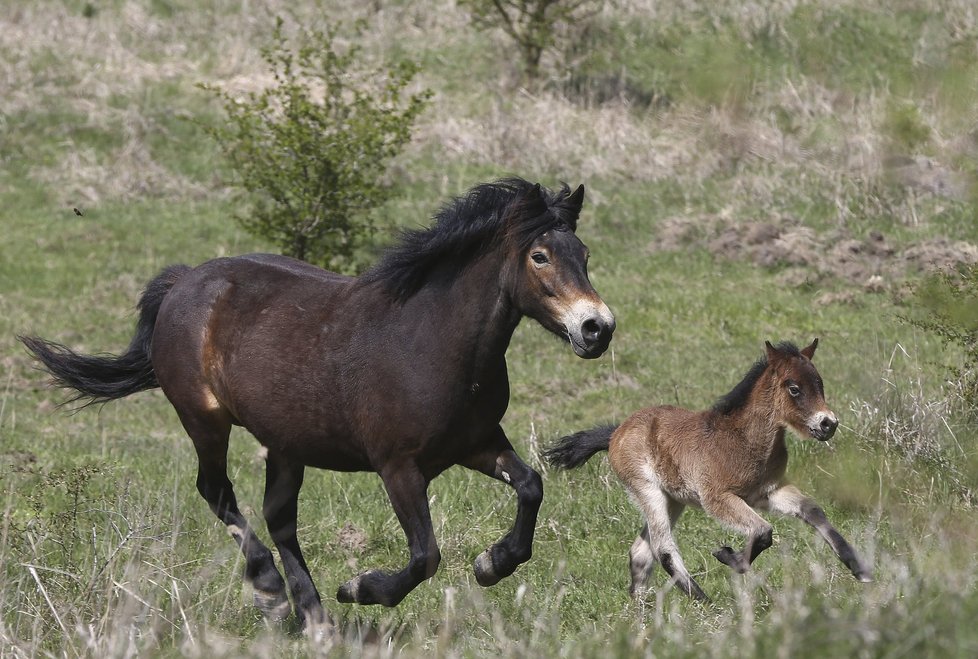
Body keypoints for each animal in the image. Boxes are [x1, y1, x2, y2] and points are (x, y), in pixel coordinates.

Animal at [21, 178, 608, 632]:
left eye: (584, 255)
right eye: (539, 256)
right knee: (218, 492)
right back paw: (273, 596)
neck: (433, 342)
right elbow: (424, 556)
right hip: (204, 419)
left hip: (285, 442)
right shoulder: (398, 467)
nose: (596, 328)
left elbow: (531, 486)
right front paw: (361, 588)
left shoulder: (478, 443)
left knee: (279, 517)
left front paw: (492, 564)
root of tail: (184, 281)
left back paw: (312, 615)